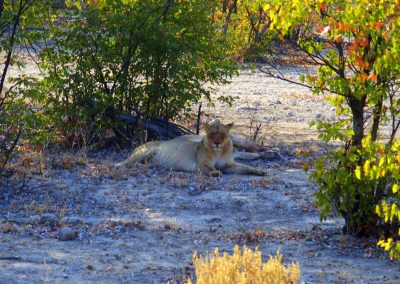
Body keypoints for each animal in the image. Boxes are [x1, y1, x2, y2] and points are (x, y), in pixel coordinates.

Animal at [115, 119, 272, 176]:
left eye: (222, 134)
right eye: (211, 134)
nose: (217, 143)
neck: (219, 151)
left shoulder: (229, 165)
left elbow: (246, 167)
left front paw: (260, 171)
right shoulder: (201, 164)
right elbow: (209, 168)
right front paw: (215, 173)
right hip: (145, 152)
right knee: (126, 162)